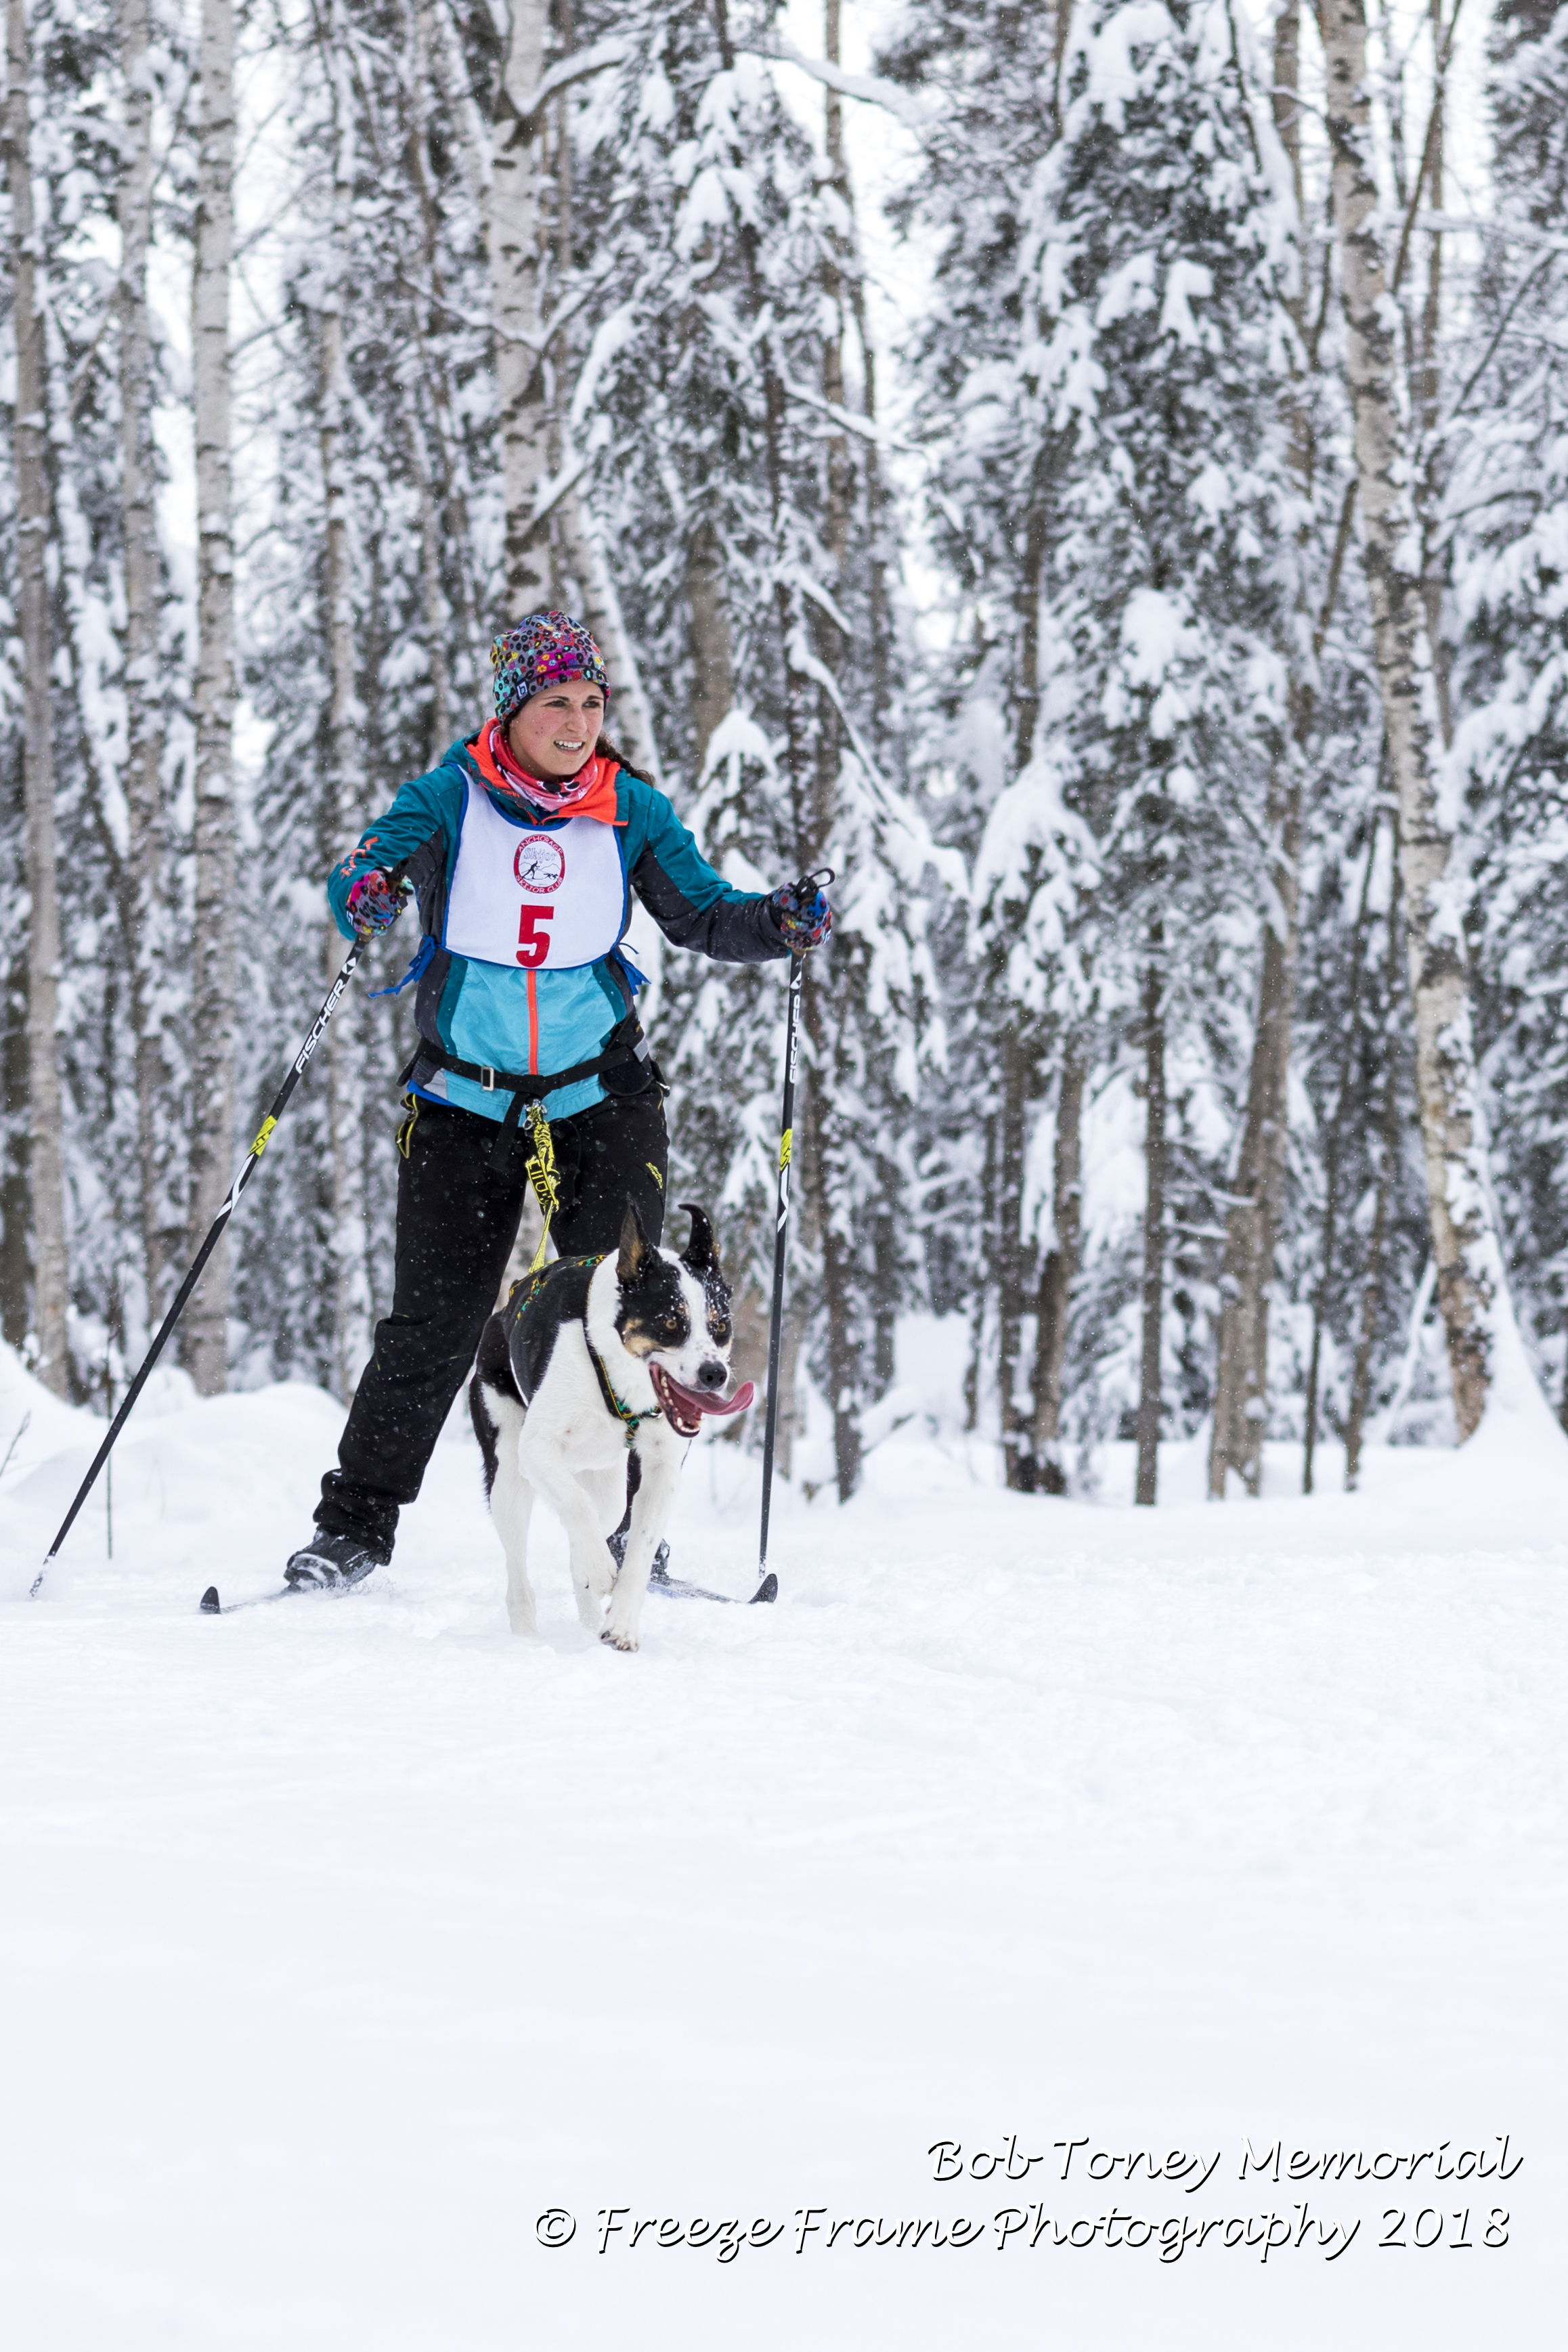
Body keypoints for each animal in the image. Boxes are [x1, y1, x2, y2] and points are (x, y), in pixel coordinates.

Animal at [465, 1204, 752, 1646]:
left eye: (720, 1325)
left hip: (609, 1485)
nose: (715, 1374)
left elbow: (639, 1548)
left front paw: (622, 1624)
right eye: (671, 1323)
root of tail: (503, 1312)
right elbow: (575, 1506)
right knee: (520, 1562)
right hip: (510, 1472)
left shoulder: (662, 1469)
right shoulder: (538, 1446)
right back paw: (528, 1632)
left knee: (592, 1524)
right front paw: (600, 1571)